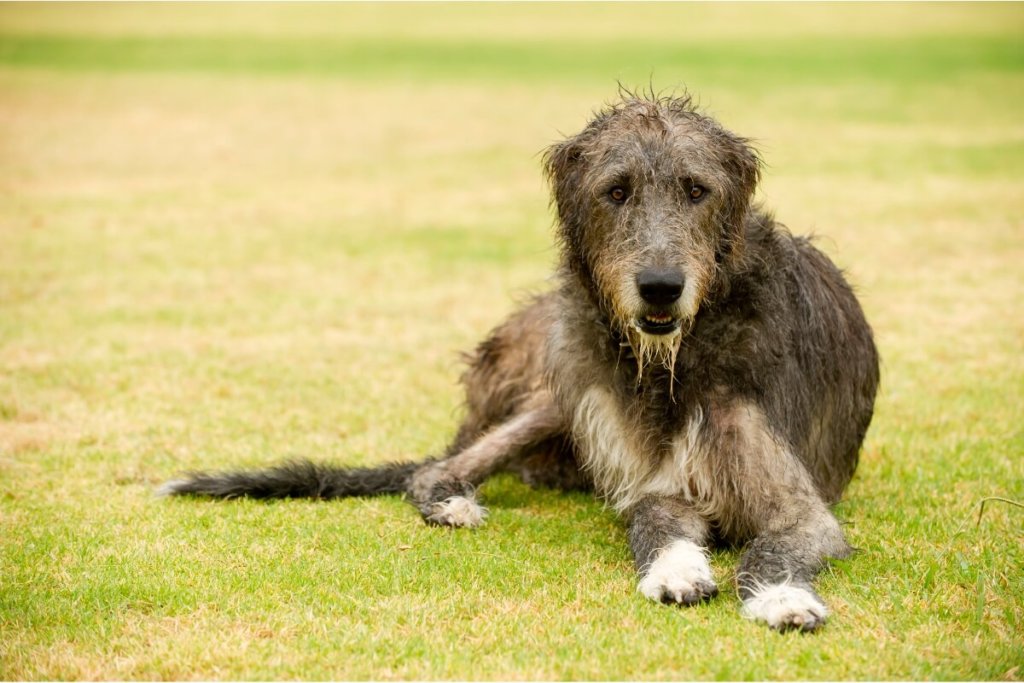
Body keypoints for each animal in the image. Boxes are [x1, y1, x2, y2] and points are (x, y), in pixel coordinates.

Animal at [161, 92, 880, 634]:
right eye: (617, 190)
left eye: (696, 189)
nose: (660, 287)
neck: (671, 361)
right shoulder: (656, 483)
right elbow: (652, 523)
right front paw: (676, 571)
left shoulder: (795, 501)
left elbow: (774, 543)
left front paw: (782, 598)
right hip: (556, 392)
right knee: (431, 470)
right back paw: (452, 502)